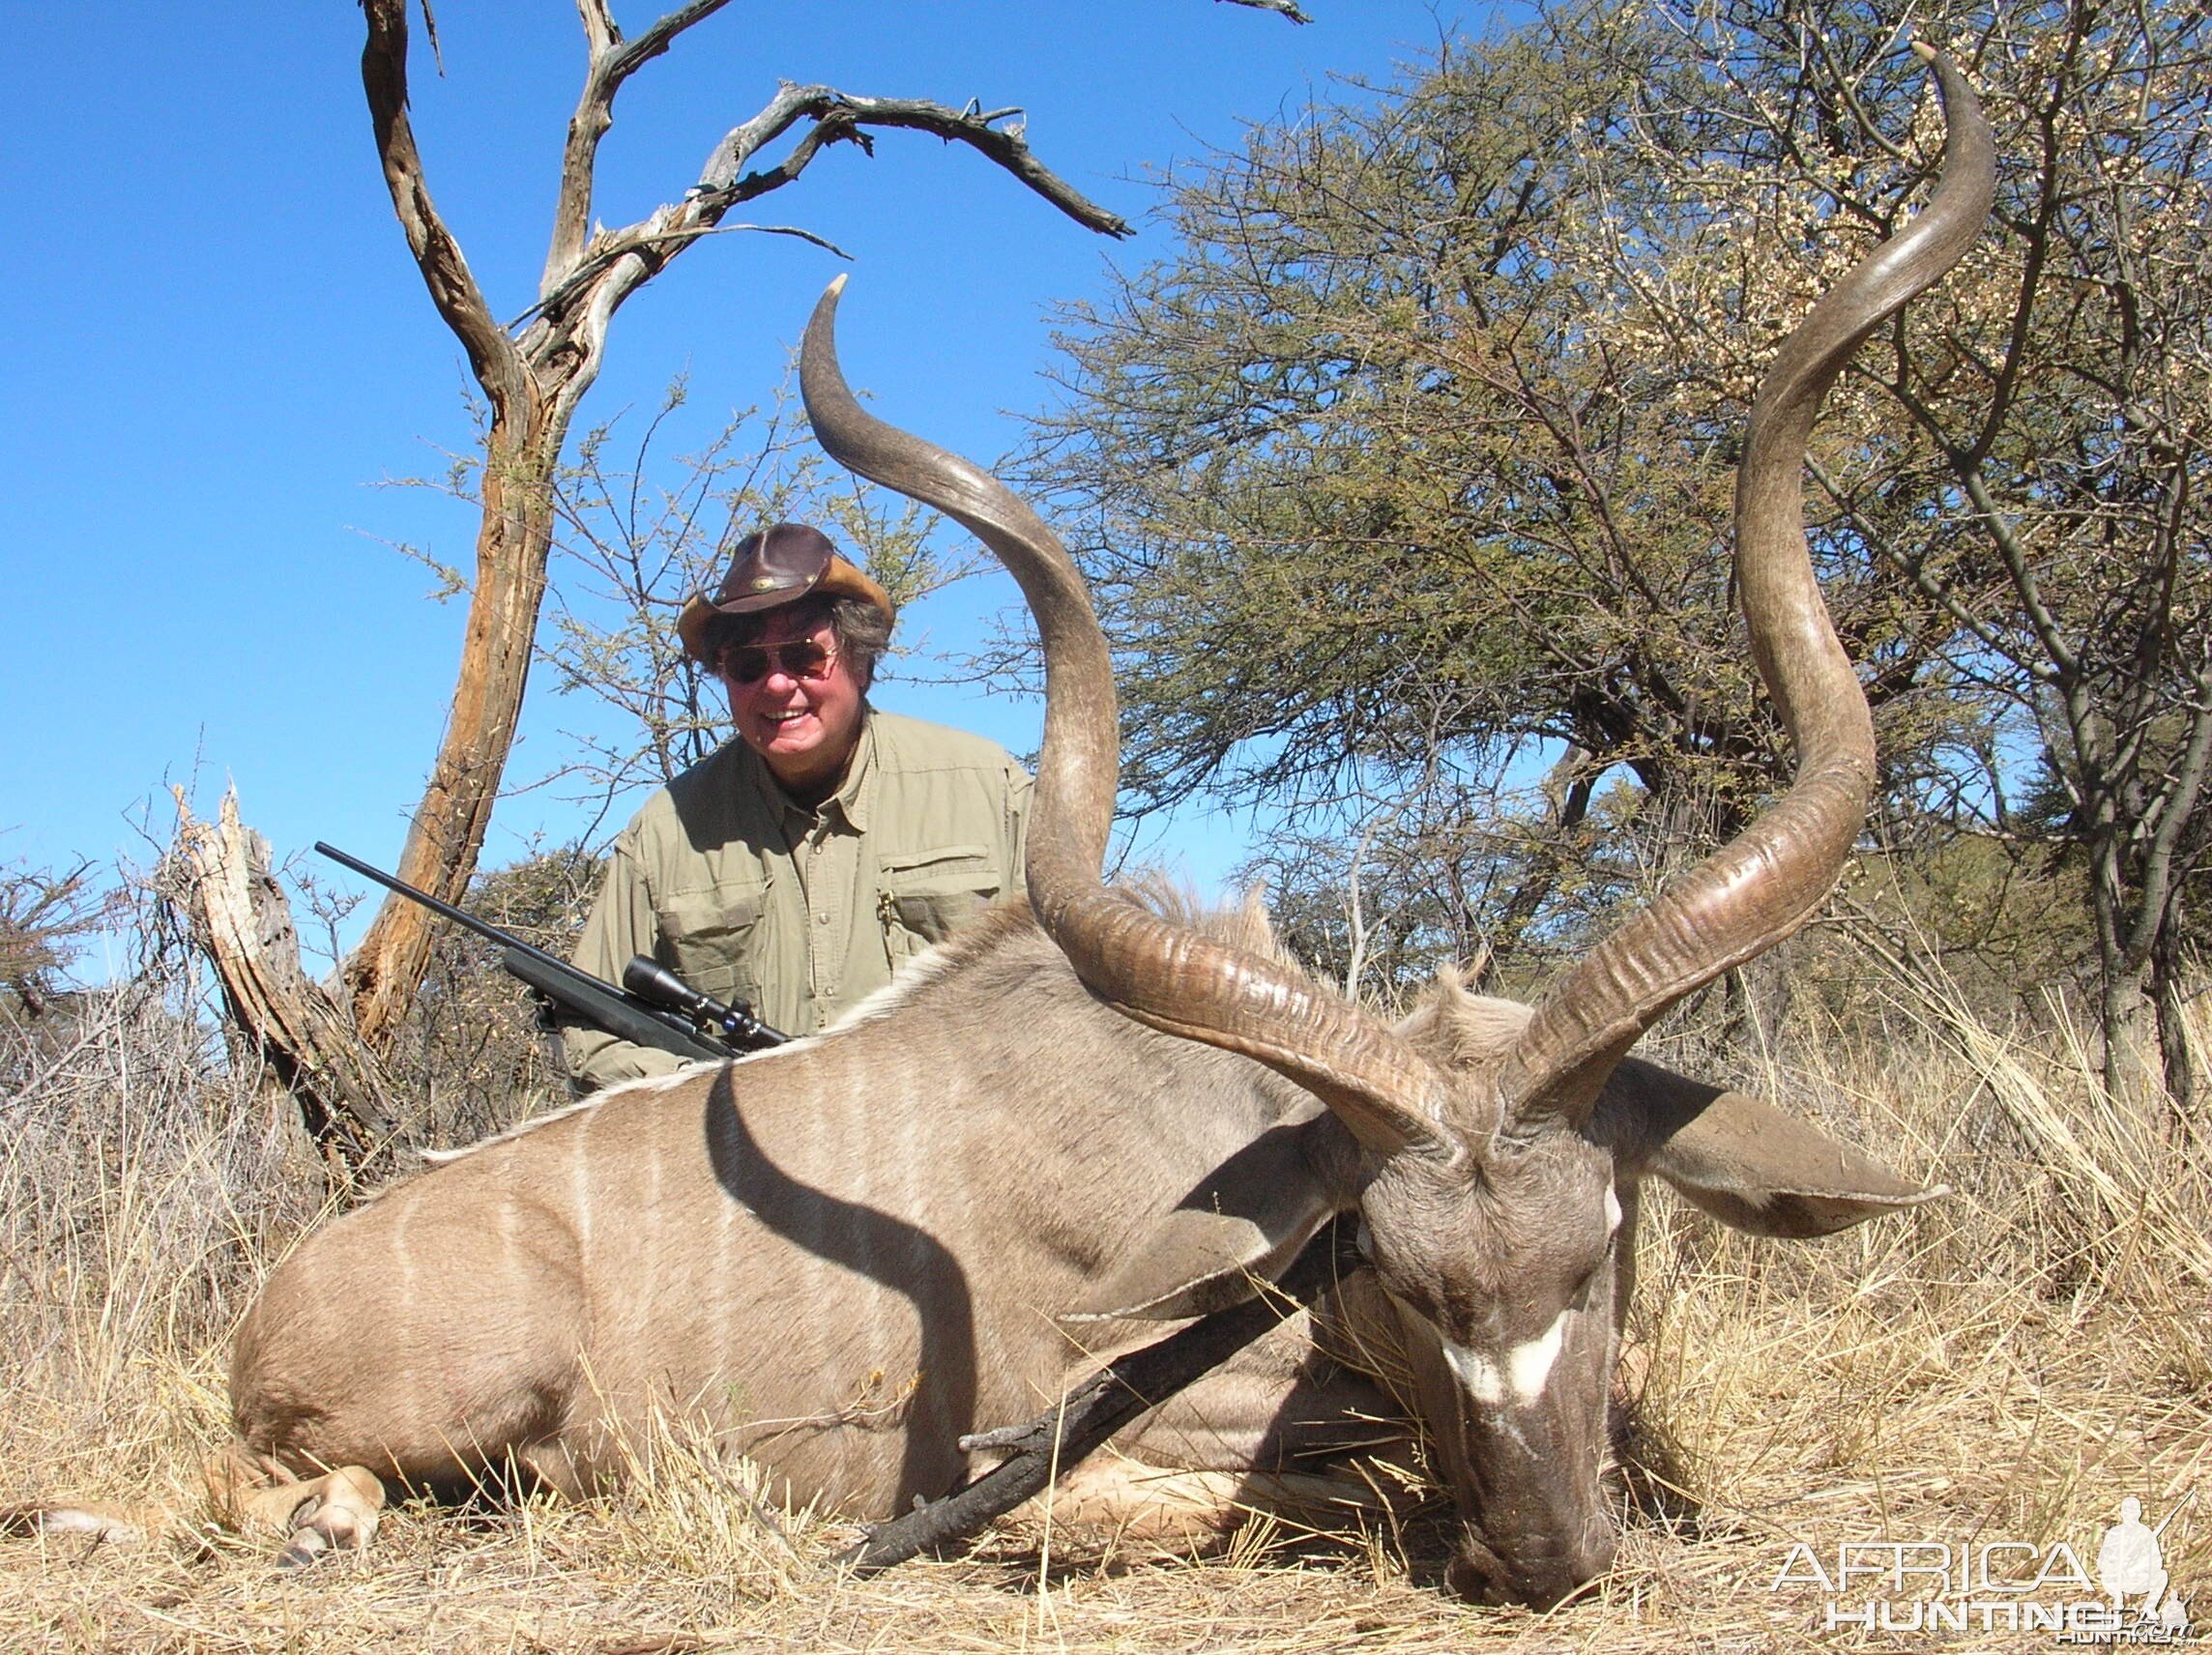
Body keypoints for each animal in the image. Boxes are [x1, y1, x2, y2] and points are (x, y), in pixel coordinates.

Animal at [43, 51, 1999, 1602]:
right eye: (1388, 1265)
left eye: (1598, 1248)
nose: (1545, 1553)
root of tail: (282, 1293)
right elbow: (1277, 1489)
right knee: (263, 1489)